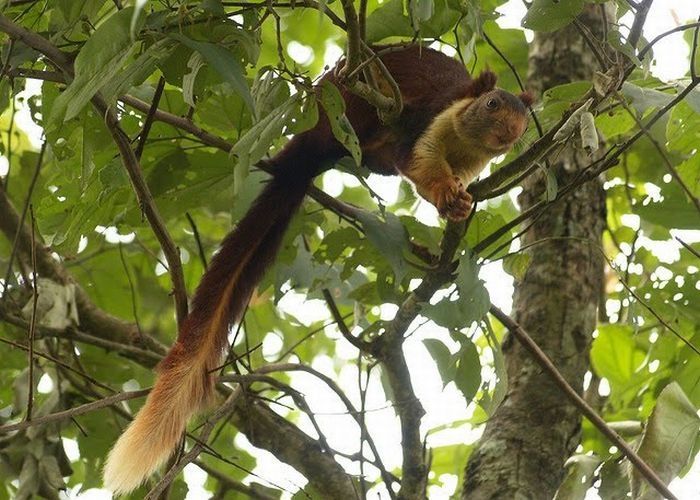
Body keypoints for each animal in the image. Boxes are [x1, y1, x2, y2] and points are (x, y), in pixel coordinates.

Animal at [102, 44, 532, 492]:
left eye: (524, 121)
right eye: (493, 104)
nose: (509, 134)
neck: (465, 144)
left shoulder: (471, 163)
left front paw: (459, 201)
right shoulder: (427, 120)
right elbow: (415, 161)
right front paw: (446, 193)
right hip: (338, 113)